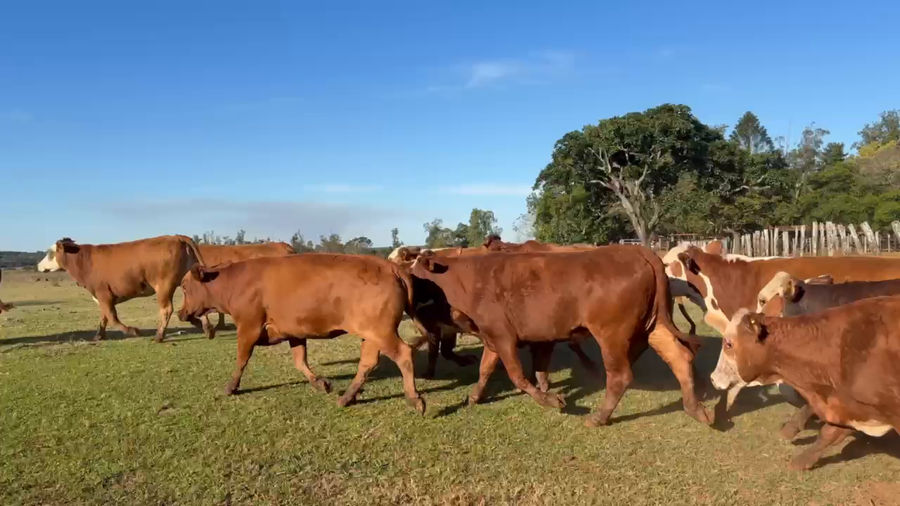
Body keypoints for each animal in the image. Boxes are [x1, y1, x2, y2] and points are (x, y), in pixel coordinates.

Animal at [36, 236, 205, 342]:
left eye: (50, 253)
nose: (38, 265)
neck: (84, 261)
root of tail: (176, 237)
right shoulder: (103, 297)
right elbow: (104, 318)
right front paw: (99, 336)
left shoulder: (104, 294)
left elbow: (112, 318)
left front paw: (133, 331)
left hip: (164, 286)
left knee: (166, 310)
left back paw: (159, 336)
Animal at [176, 253, 425, 414]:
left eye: (185, 287)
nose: (180, 313)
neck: (234, 281)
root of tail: (389, 267)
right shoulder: (294, 333)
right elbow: (300, 361)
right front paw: (321, 383)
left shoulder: (248, 328)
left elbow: (241, 360)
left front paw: (231, 387)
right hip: (371, 334)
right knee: (367, 362)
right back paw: (346, 398)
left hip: (381, 332)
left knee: (404, 354)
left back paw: (414, 399)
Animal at [408, 246, 712, 427]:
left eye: (415, 272)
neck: (468, 278)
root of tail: (637, 250)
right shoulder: (493, 337)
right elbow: (485, 369)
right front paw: (474, 397)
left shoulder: (504, 337)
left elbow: (518, 377)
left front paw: (552, 400)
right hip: (654, 327)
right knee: (680, 358)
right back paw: (695, 409)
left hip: (611, 335)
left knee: (620, 376)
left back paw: (599, 417)